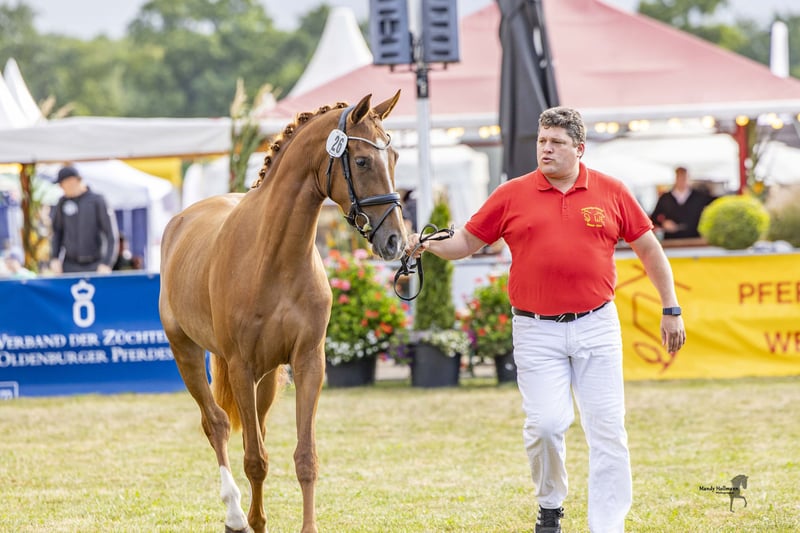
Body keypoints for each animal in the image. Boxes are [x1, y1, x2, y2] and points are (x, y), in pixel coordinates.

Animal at [158, 91, 406, 533]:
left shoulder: (308, 362)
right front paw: (247, 519)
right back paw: (235, 513)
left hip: (267, 375)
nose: (395, 240)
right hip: (186, 352)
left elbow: (303, 458)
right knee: (217, 424)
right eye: (362, 161)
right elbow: (254, 460)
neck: (274, 258)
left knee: (253, 429)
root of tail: (181, 221)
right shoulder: (239, 366)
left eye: (393, 157)